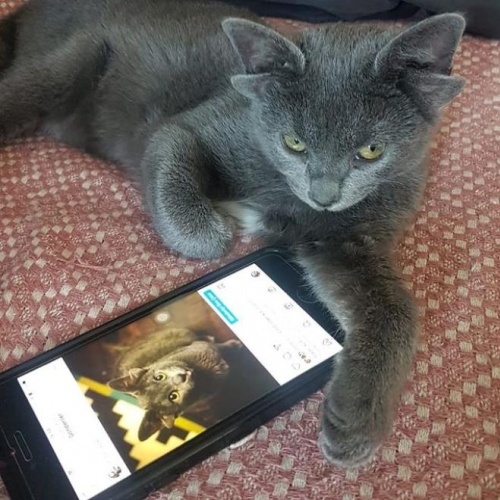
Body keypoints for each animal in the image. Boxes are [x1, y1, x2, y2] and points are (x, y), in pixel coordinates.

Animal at [108, 327, 242, 441]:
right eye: (173, 396)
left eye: (159, 377)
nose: (181, 377)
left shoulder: (202, 347)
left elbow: (220, 346)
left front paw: (234, 344)